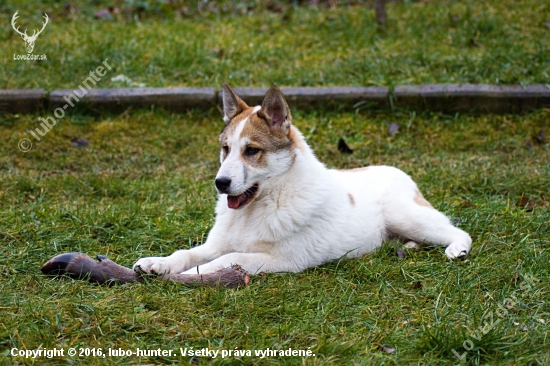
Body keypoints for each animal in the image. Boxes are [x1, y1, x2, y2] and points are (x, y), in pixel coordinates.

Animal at [135, 83, 474, 274]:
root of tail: (398, 171)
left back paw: (457, 249)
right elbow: (188, 253)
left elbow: (227, 259)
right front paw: (159, 263)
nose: (220, 184)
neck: (260, 207)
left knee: (459, 231)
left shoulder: (284, 259)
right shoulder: (216, 244)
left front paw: (189, 276)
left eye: (252, 151)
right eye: (226, 149)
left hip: (407, 216)